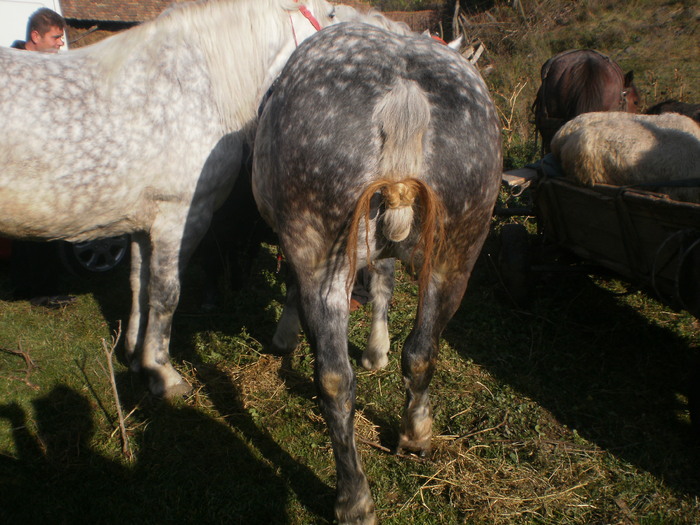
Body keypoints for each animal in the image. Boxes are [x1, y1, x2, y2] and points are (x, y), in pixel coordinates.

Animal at [0, 0, 340, 396]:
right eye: (333, 15)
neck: (191, 86)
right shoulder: (179, 219)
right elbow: (167, 293)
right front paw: (163, 373)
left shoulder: (140, 224)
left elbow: (140, 285)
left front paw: (135, 356)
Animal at [252, 22, 504, 520]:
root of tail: (404, 98)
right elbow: (385, 288)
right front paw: (378, 350)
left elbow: (297, 287)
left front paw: (288, 336)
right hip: (455, 261)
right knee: (422, 353)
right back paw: (415, 435)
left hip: (323, 261)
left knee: (334, 380)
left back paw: (353, 499)